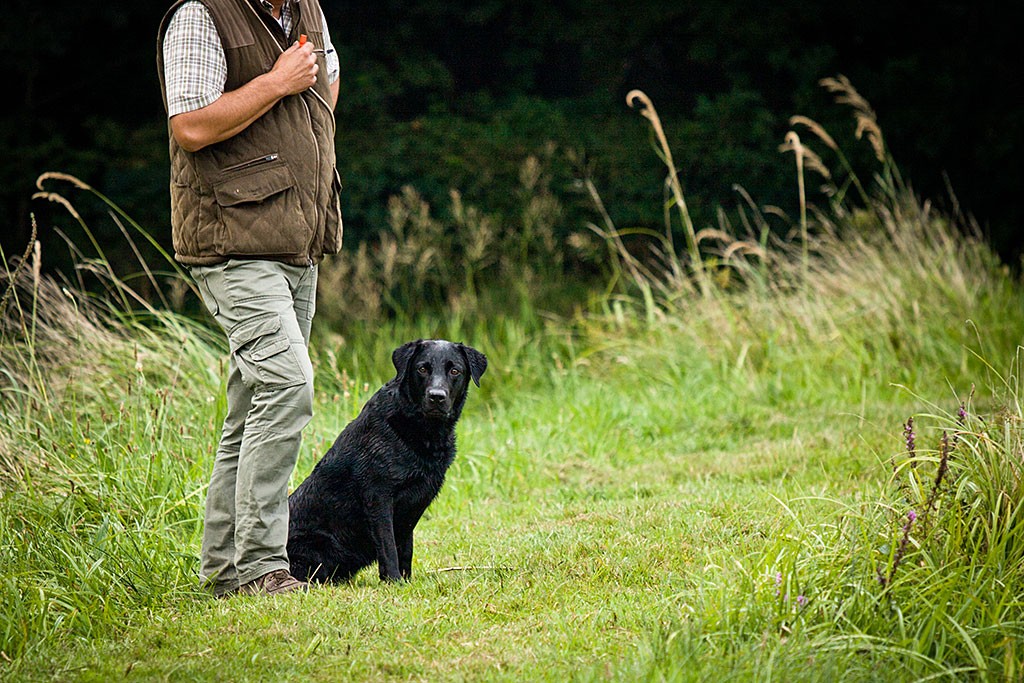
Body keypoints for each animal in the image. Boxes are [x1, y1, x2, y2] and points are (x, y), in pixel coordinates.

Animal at [284, 339, 483, 585]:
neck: (419, 431)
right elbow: (388, 547)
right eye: (422, 368)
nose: (437, 396)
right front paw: (394, 581)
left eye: (455, 371)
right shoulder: (378, 497)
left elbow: (405, 548)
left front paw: (405, 582)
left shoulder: (414, 504)